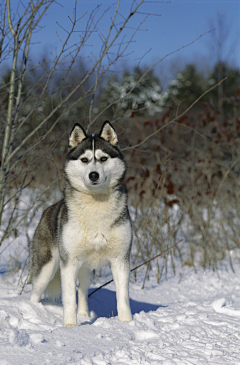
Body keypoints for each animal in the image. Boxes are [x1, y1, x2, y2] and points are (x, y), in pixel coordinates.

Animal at [29, 121, 133, 326]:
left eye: (103, 158)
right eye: (84, 160)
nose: (93, 175)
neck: (96, 204)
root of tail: (48, 210)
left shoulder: (120, 259)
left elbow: (123, 297)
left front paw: (127, 323)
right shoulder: (69, 263)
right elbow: (69, 298)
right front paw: (70, 326)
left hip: (87, 270)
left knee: (83, 291)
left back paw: (85, 314)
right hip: (47, 268)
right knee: (35, 293)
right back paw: (33, 311)